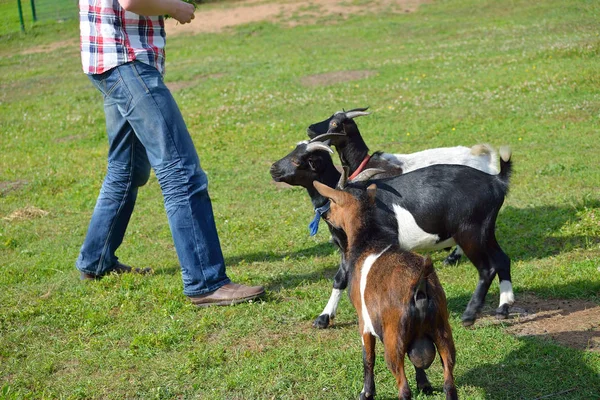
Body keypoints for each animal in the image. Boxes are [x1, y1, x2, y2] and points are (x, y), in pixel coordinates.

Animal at [270, 142, 512, 326]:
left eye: (298, 161)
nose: (273, 168)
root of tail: (496, 180)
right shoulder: (346, 248)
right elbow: (340, 278)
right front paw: (324, 317)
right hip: (485, 230)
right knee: (502, 259)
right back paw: (504, 306)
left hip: (470, 232)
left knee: (486, 268)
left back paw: (470, 314)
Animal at [312, 181, 458, 400]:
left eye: (333, 202)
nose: (326, 214)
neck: (370, 242)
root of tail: (420, 289)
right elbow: (418, 365)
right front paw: (424, 384)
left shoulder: (364, 323)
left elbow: (368, 359)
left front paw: (366, 393)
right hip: (443, 334)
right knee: (449, 384)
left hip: (393, 343)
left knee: (403, 389)